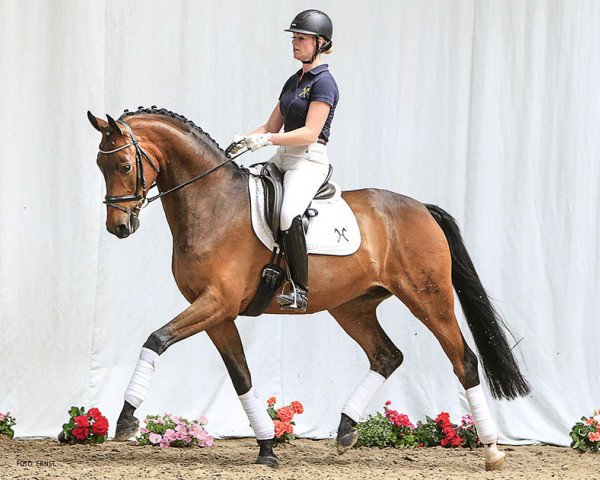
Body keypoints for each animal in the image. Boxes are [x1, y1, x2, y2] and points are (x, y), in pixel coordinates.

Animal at [86, 108, 528, 468]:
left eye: (123, 164)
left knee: (463, 361)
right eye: (99, 164)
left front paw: (125, 419)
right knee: (387, 356)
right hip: (352, 306)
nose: (118, 227)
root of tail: (422, 208)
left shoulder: (216, 304)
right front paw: (267, 449)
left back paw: (492, 451)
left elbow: (155, 339)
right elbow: (242, 377)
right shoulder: (217, 313)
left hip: (429, 300)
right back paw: (346, 430)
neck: (213, 205)